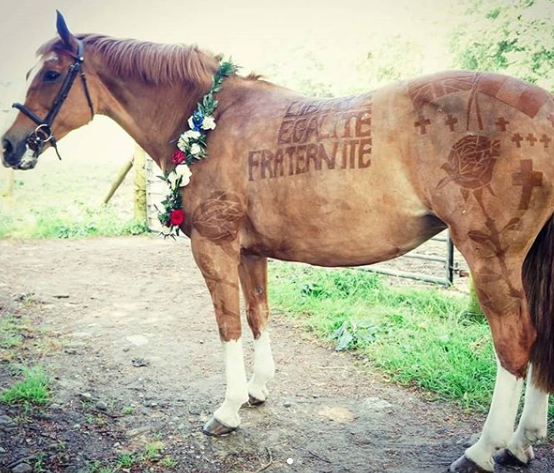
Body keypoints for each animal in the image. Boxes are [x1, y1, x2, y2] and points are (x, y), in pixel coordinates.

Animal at [1, 12, 552, 470]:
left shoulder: (215, 247)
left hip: (489, 255)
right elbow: (257, 315)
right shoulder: (250, 252)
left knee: (514, 343)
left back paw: (483, 450)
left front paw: (227, 410)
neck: (211, 119)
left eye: (51, 74)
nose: (10, 145)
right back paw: (520, 443)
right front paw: (257, 389)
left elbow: (227, 325)